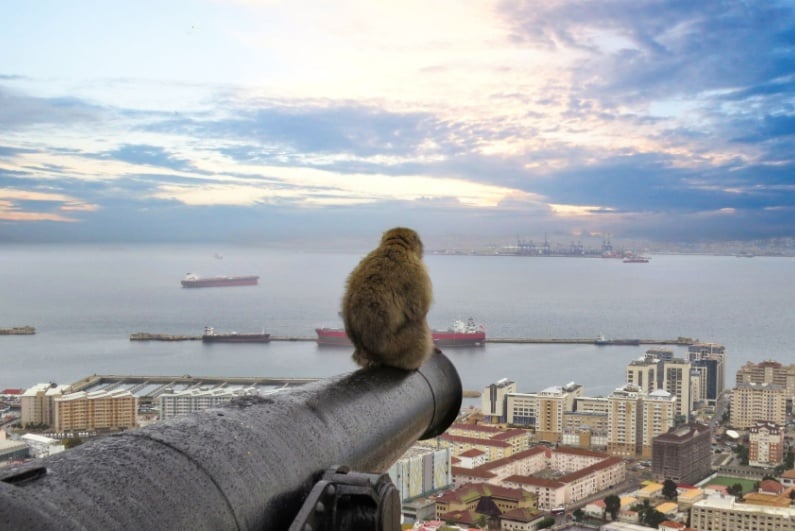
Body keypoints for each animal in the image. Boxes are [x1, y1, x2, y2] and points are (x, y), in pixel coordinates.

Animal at [341, 227, 437, 370]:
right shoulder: (418, 271)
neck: (393, 246)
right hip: (399, 348)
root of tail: (367, 354)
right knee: (418, 325)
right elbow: (419, 310)